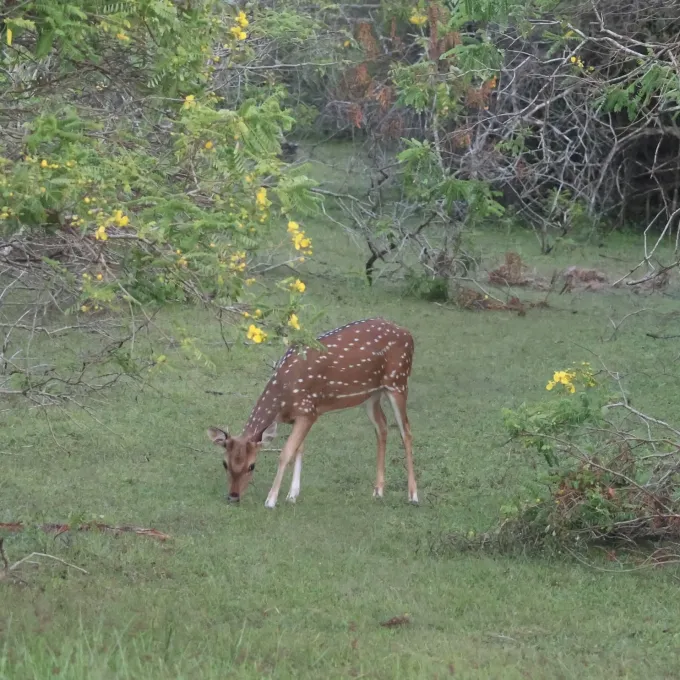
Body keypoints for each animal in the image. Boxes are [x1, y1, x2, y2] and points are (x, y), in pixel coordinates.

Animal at [207, 317, 418, 508]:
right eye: (225, 463)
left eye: (252, 465)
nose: (233, 496)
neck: (283, 398)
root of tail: (408, 334)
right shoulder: (300, 415)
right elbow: (299, 449)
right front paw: (292, 495)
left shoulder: (309, 411)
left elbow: (286, 453)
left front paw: (271, 500)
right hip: (371, 395)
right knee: (382, 427)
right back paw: (378, 491)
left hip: (398, 382)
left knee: (406, 431)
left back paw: (413, 495)